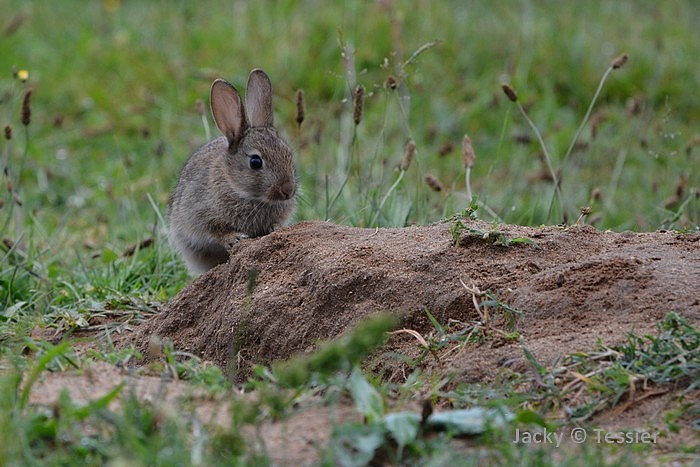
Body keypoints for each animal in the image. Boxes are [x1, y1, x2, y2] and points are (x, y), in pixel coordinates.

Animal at [172, 69, 298, 274]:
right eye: (255, 162)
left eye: (288, 154)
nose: (288, 190)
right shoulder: (199, 215)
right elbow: (215, 231)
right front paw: (236, 238)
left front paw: (276, 228)